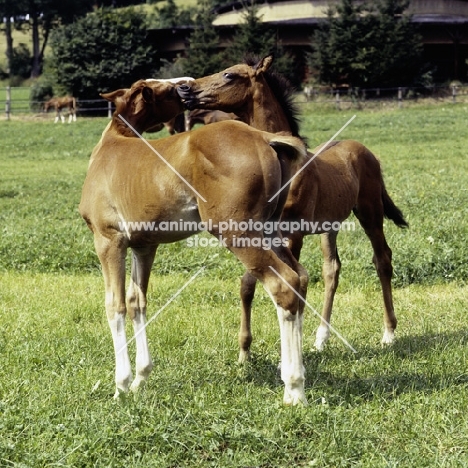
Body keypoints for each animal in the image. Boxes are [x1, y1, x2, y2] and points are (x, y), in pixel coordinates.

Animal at [78, 78, 308, 404]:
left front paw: (121, 385)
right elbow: (137, 302)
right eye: (167, 90)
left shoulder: (109, 240)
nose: (187, 87)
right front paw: (140, 379)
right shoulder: (144, 246)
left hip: (237, 232)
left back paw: (294, 389)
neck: (110, 145)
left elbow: (115, 305)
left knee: (283, 285)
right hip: (269, 230)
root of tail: (265, 138)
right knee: (300, 277)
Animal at [177, 55, 408, 354]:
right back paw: (321, 337)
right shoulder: (259, 230)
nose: (185, 89)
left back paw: (389, 332)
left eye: (229, 75)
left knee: (382, 259)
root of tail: (368, 153)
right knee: (332, 269)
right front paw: (245, 349)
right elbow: (249, 284)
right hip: (330, 226)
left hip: (370, 211)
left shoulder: (293, 233)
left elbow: (294, 280)